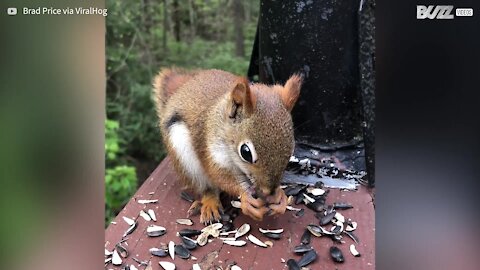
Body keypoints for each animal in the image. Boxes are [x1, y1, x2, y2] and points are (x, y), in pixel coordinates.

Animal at [154, 68, 302, 224]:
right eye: (245, 152)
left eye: (291, 149)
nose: (269, 191)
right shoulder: (211, 148)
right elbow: (220, 176)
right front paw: (246, 198)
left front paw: (281, 198)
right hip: (184, 158)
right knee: (206, 188)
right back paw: (210, 203)